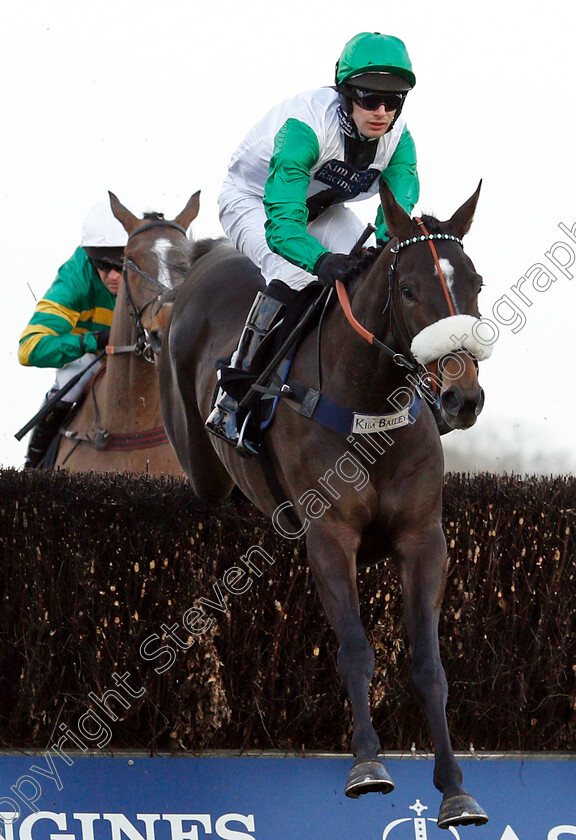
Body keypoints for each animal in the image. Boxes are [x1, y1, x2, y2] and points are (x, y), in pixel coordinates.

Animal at [160, 184, 492, 828]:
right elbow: (356, 650)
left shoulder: (423, 538)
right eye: (408, 289)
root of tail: (208, 255)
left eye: (476, 282)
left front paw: (456, 789)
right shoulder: (331, 537)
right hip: (199, 459)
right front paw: (367, 764)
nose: (462, 397)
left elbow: (429, 666)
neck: (367, 408)